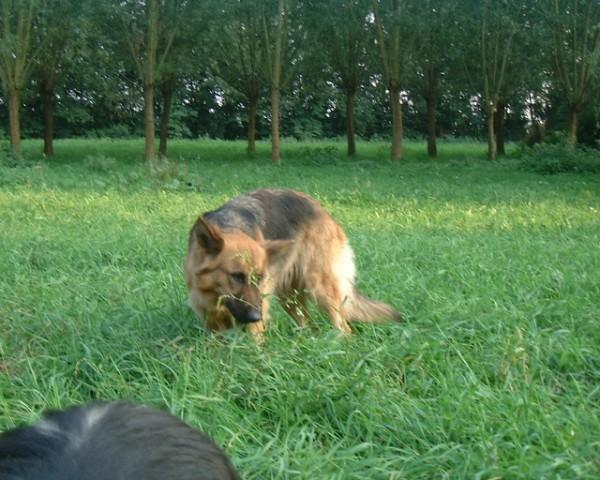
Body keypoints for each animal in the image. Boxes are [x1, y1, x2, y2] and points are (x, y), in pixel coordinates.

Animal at [185, 189, 400, 337]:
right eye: (236, 276)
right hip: (290, 299)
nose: (256, 316)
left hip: (321, 291)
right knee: (309, 325)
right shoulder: (213, 324)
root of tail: (322, 210)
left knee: (343, 328)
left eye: (259, 278)